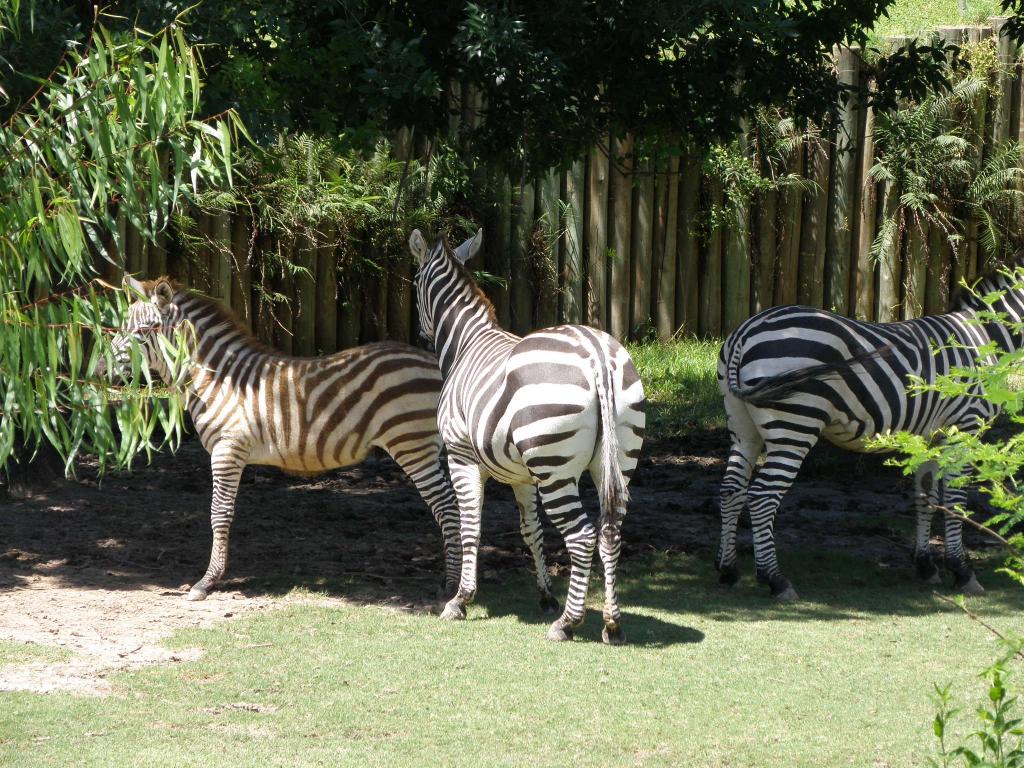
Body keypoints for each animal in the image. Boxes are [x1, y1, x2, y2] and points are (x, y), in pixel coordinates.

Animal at [98, 276, 460, 602]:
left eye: (142, 332)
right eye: (122, 328)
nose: (99, 369)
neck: (217, 380)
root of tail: (437, 364)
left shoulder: (227, 449)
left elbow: (219, 513)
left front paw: (207, 582)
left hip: (412, 444)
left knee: (447, 506)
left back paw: (453, 586)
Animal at [409, 228, 643, 643]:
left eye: (415, 282)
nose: (419, 337)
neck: (467, 343)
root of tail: (597, 355)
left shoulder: (460, 456)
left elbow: (470, 525)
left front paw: (460, 600)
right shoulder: (522, 475)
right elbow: (531, 530)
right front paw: (545, 596)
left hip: (555, 469)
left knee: (581, 536)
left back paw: (567, 623)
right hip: (615, 461)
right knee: (610, 532)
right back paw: (611, 624)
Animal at [716, 274, 1024, 606]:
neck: (986, 336)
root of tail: (744, 333)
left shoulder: (929, 438)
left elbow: (926, 497)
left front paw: (926, 566)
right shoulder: (964, 428)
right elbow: (955, 499)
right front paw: (962, 571)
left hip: (743, 426)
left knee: (731, 490)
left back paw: (728, 570)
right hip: (794, 425)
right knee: (762, 496)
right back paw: (775, 580)